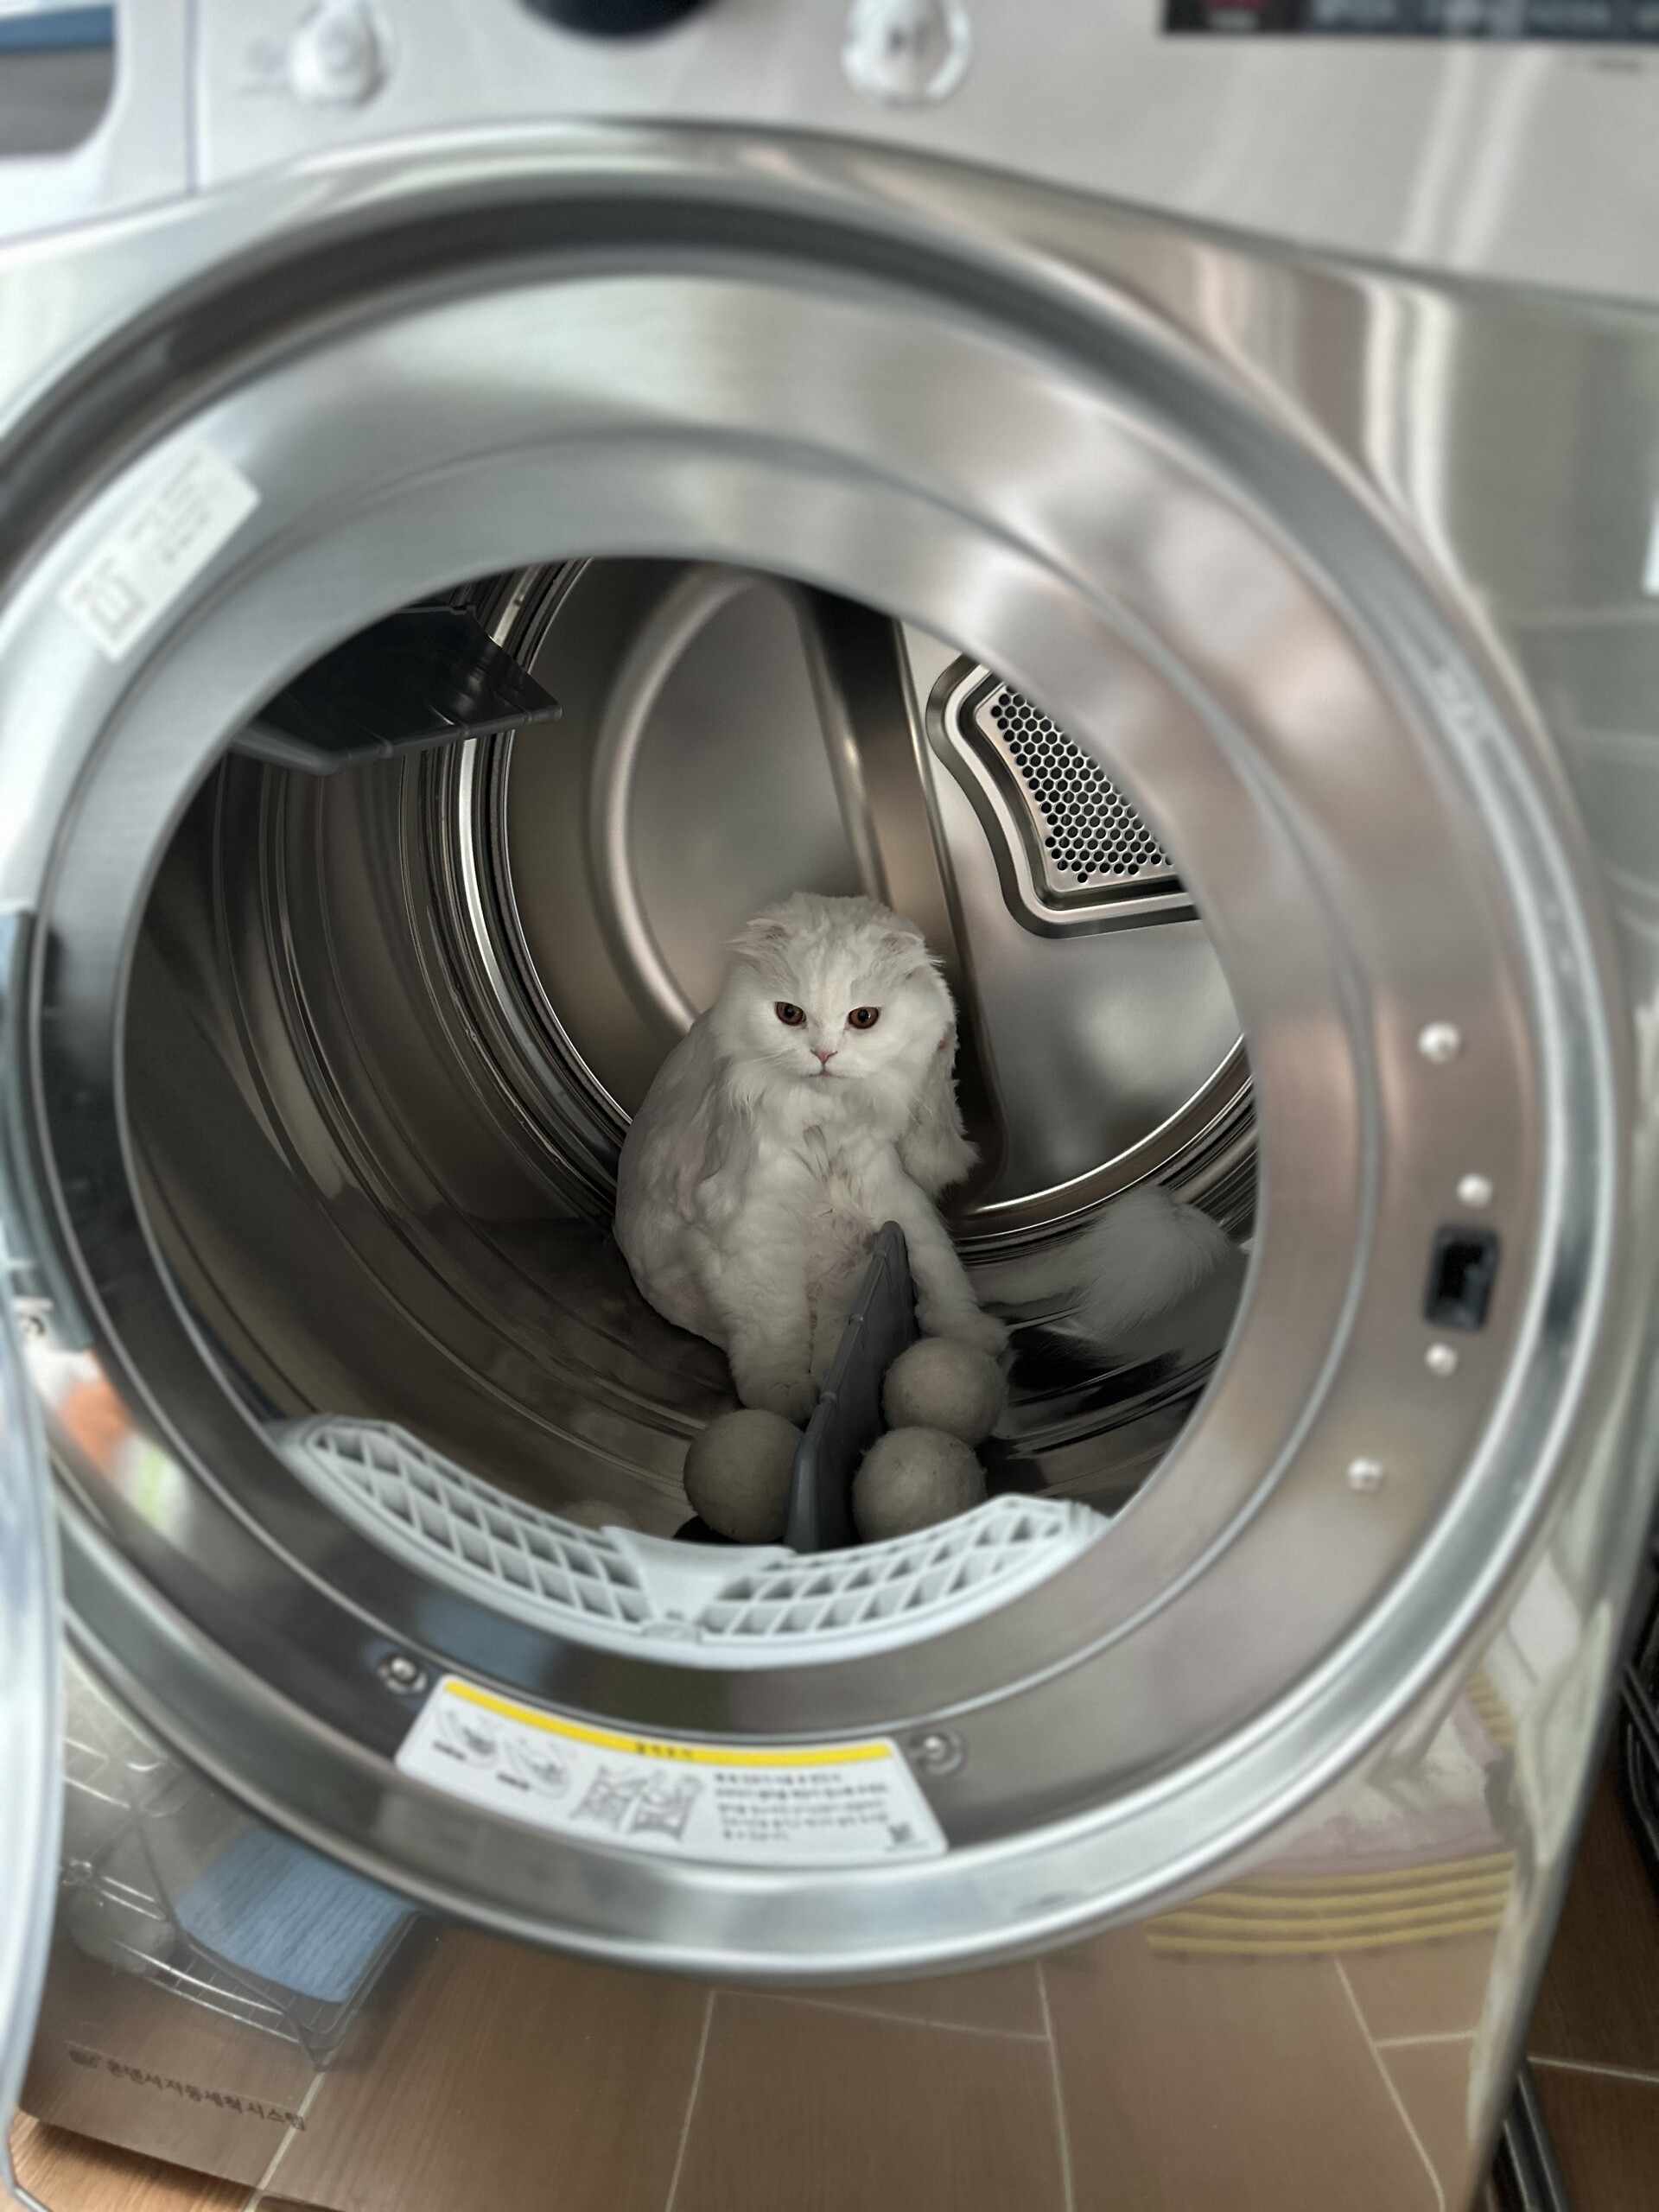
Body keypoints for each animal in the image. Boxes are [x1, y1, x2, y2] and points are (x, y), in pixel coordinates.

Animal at [615, 892, 1005, 1423]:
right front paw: (781, 1397)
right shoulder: (749, 1228)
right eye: (789, 1014)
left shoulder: (887, 1184)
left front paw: (971, 1337)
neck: (825, 1120)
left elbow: (939, 1268)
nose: (823, 1054)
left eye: (863, 1018)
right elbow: (774, 1324)